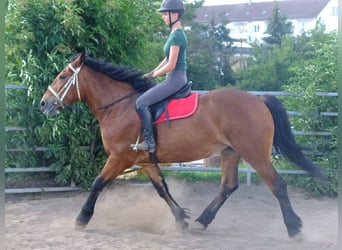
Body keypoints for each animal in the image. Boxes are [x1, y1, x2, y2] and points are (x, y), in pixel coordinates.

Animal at [40, 51, 324, 237]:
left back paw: (294, 228)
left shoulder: (121, 158)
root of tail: (258, 100)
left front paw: (82, 218)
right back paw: (202, 221)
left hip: (255, 154)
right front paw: (181, 219)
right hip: (230, 153)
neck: (121, 106)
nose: (44, 103)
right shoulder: (145, 161)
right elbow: (162, 189)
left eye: (62, 77)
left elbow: (98, 183)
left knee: (277, 185)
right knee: (228, 186)